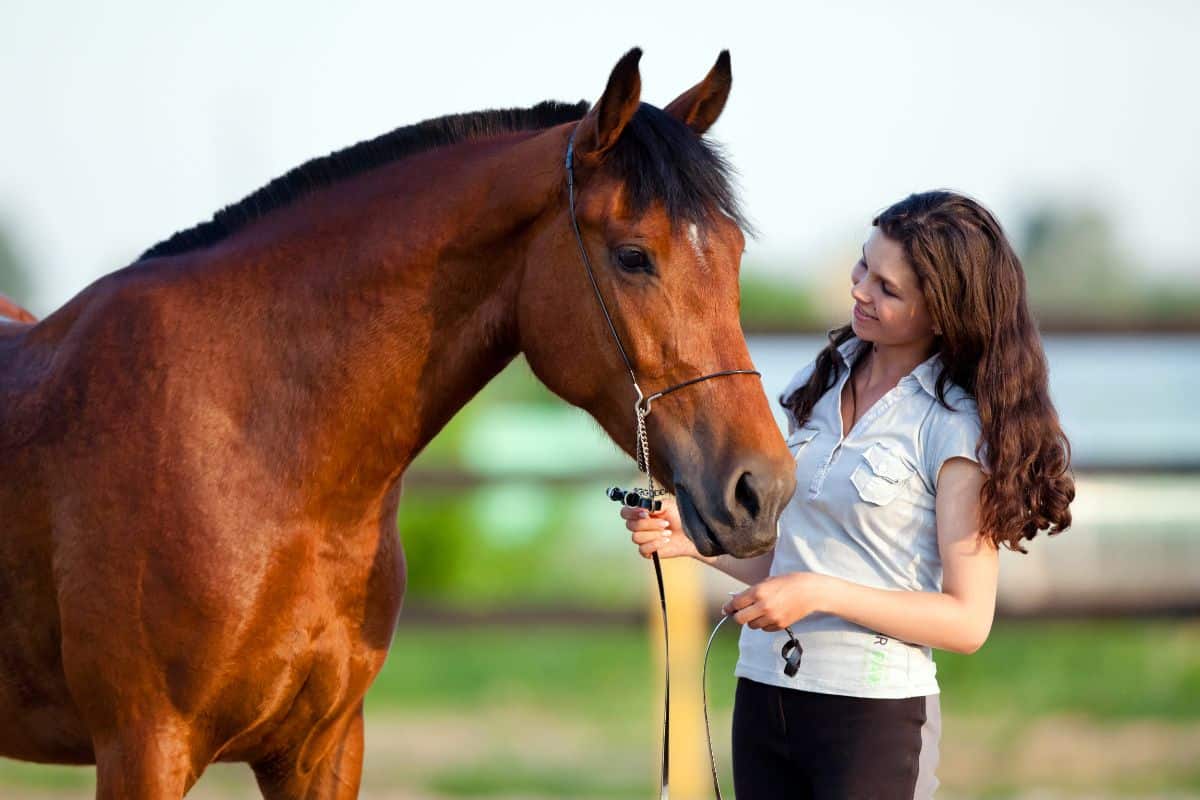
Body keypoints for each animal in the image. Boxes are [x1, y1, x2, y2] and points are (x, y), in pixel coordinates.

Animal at [0, 48, 796, 796]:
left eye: (734, 253)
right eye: (633, 256)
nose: (763, 490)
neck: (254, 448)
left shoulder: (322, 749)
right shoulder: (144, 748)